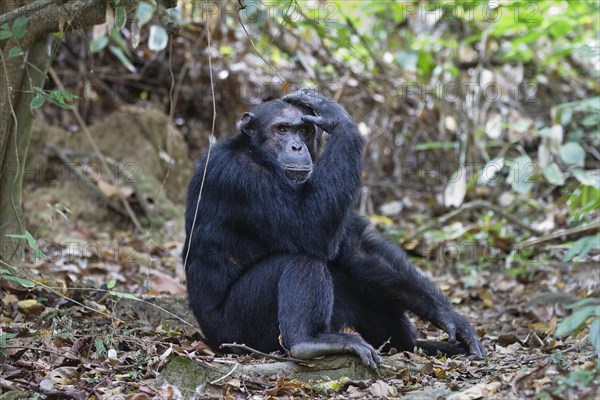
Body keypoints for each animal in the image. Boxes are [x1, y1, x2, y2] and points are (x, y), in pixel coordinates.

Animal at [184, 88, 488, 368]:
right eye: (281, 129)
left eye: (304, 130)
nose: (297, 147)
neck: (257, 154)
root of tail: (211, 339)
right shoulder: (242, 176)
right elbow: (310, 227)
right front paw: (337, 117)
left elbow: (355, 245)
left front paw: (450, 318)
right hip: (239, 331)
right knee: (301, 259)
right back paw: (309, 342)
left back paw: (418, 346)